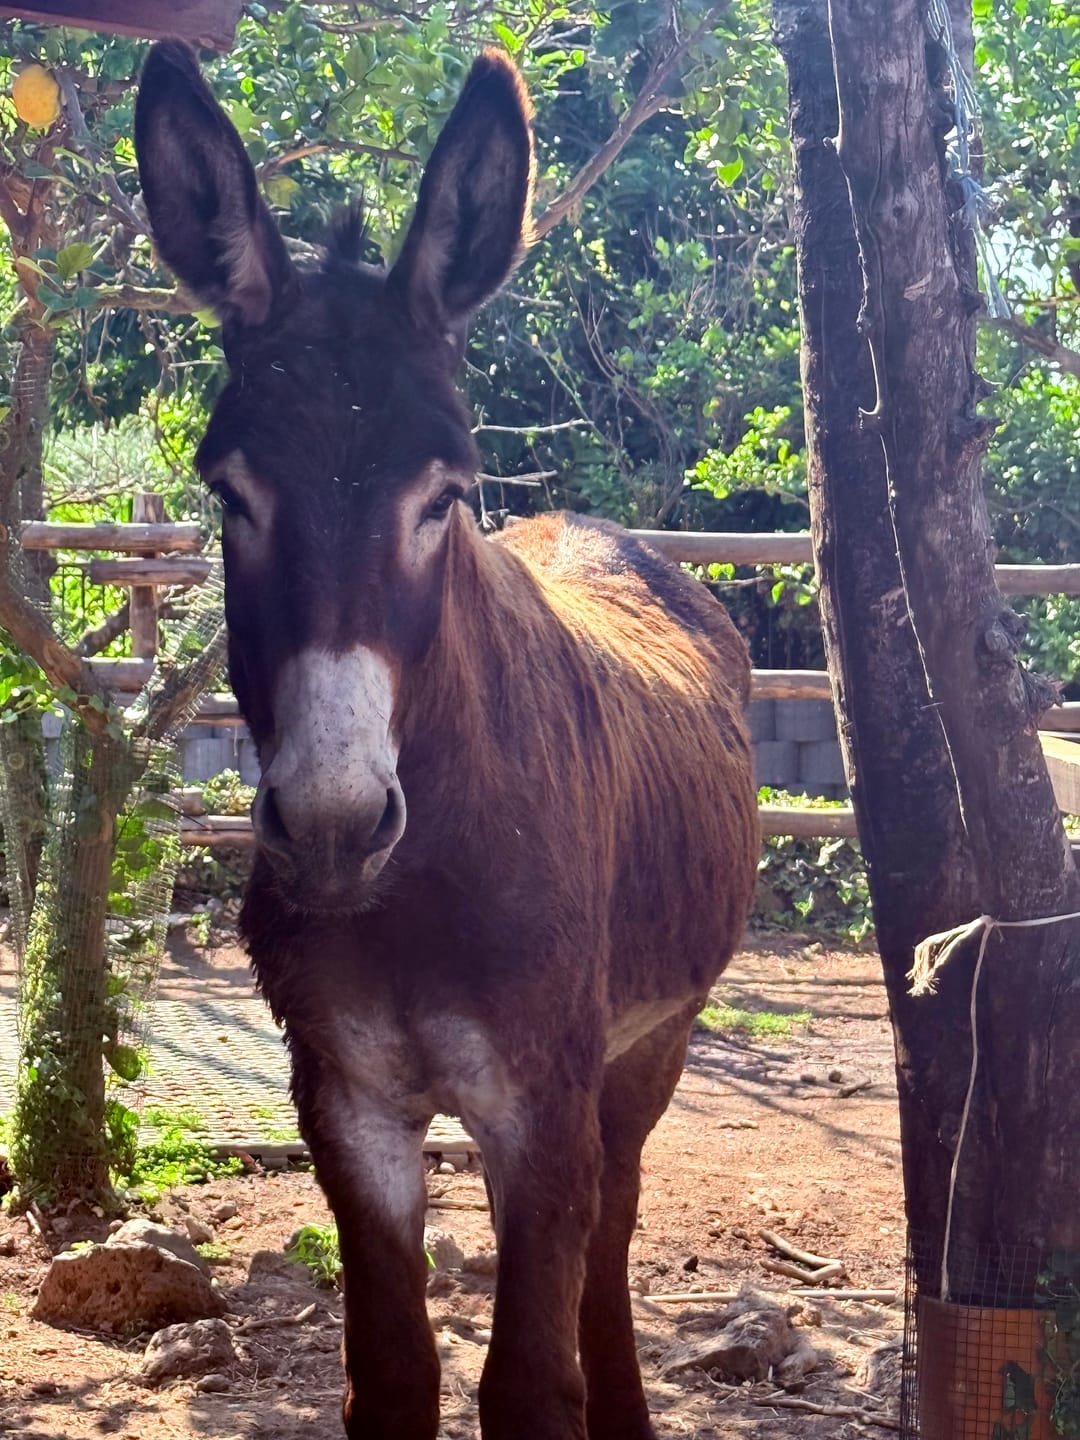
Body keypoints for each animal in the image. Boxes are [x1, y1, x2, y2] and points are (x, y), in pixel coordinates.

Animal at [135, 41, 758, 1440]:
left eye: (447, 496)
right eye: (229, 492)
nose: (330, 825)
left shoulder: (542, 1107)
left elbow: (526, 1378)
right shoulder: (348, 1107)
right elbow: (392, 1375)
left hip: (652, 1043)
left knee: (615, 1227)